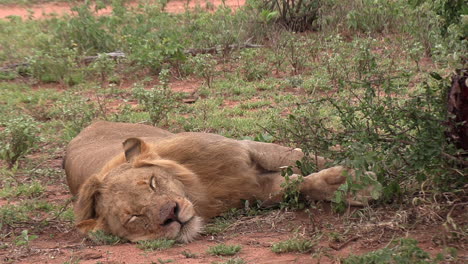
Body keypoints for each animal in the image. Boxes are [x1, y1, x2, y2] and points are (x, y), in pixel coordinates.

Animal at [63, 120, 372, 242]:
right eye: (134, 218)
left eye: (152, 182)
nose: (171, 214)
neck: (201, 190)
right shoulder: (258, 191)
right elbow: (302, 184)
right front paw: (354, 184)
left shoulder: (248, 148)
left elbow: (303, 155)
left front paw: (368, 166)